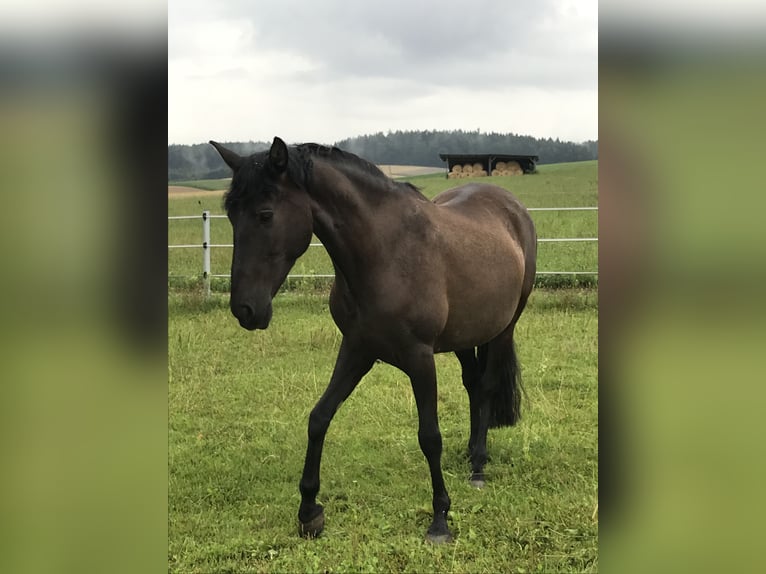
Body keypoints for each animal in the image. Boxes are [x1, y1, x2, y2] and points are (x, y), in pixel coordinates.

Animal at [212, 137, 540, 544]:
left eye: (265, 214)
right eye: (231, 215)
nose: (245, 309)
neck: (385, 253)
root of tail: (511, 206)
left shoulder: (420, 358)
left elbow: (429, 436)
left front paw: (440, 520)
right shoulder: (357, 349)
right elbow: (319, 417)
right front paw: (309, 511)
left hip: (504, 327)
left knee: (490, 385)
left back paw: (478, 466)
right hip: (466, 335)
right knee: (475, 386)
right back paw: (470, 454)